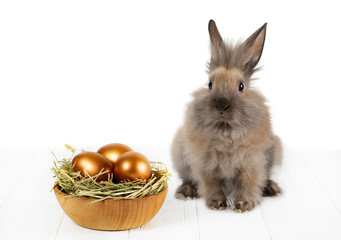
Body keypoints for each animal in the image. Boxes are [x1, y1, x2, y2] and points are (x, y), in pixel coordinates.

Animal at [170, 20, 282, 212]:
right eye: (210, 84)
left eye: (241, 86)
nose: (222, 106)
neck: (225, 129)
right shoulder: (206, 164)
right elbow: (212, 184)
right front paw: (217, 204)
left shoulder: (251, 163)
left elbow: (247, 184)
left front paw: (243, 205)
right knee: (188, 179)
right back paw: (186, 192)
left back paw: (271, 189)